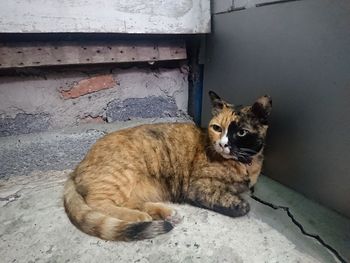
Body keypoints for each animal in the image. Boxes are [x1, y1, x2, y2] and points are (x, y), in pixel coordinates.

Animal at [63, 92, 270, 242]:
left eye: (241, 132)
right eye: (217, 128)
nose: (222, 144)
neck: (245, 164)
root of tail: (78, 166)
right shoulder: (199, 188)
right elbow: (238, 204)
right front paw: (240, 204)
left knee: (129, 202)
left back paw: (166, 214)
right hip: (120, 176)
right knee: (98, 202)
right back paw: (141, 217)